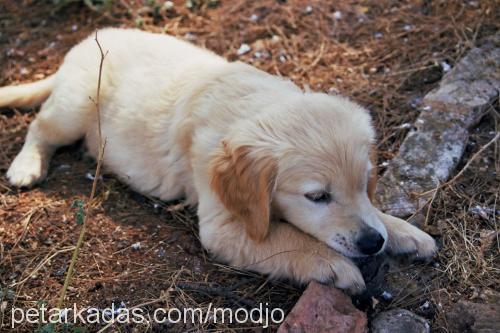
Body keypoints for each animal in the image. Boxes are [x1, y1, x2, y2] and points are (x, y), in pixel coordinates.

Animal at [0, 29, 436, 294]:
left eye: (365, 185)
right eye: (317, 197)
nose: (372, 243)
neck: (251, 106)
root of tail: (83, 44)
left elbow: (375, 214)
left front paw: (402, 232)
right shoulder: (224, 227)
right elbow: (286, 239)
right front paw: (335, 265)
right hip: (73, 107)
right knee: (40, 128)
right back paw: (26, 167)